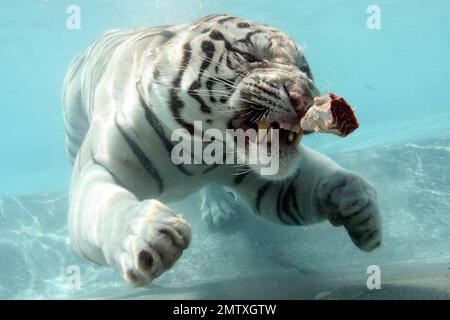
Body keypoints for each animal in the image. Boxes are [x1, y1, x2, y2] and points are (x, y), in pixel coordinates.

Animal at [62, 13, 380, 286]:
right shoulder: (98, 168)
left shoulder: (267, 183)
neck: (198, 151)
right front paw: (148, 234)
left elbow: (329, 182)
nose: (304, 98)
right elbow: (106, 206)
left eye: (304, 70)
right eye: (249, 56)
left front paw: (362, 209)